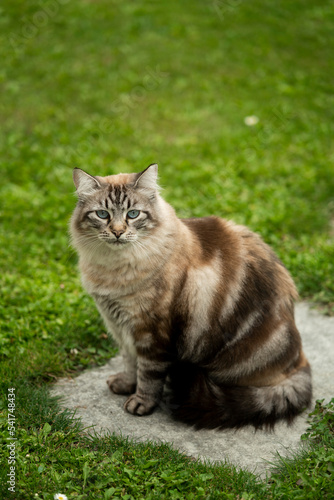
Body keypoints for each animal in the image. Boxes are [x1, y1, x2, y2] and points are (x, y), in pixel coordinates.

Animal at [70, 164, 314, 430]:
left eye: (133, 214)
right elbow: (129, 362)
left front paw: (141, 403)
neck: (113, 269)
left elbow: (147, 374)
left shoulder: (150, 332)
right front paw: (125, 385)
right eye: (102, 214)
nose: (117, 232)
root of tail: (298, 365)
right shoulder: (120, 327)